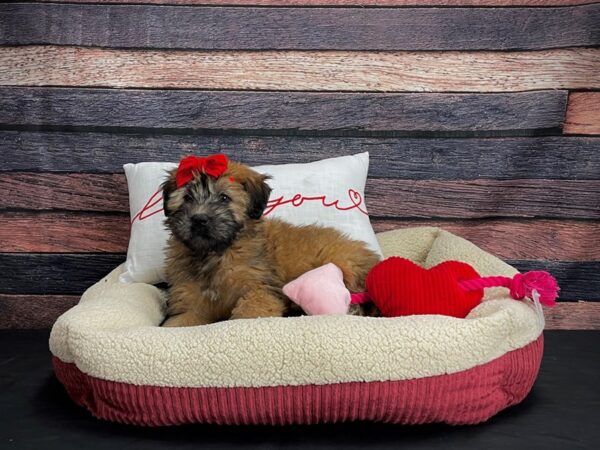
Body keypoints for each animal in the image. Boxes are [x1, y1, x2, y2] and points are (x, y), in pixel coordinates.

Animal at [161, 159, 380, 326]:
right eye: (187, 198)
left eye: (224, 198)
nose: (199, 219)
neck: (214, 253)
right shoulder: (190, 302)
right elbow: (180, 322)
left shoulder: (260, 290)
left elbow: (249, 312)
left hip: (343, 265)